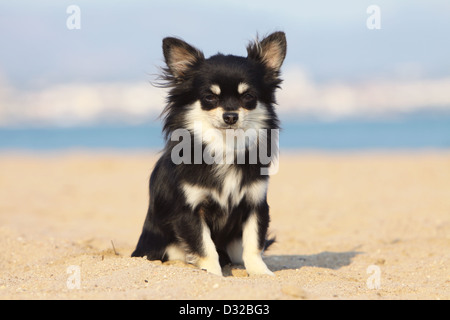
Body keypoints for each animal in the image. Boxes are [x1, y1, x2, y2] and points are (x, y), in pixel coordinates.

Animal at [130, 31, 286, 276]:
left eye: (248, 97)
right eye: (210, 98)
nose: (230, 116)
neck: (224, 147)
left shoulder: (255, 205)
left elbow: (253, 244)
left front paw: (261, 273)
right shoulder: (189, 211)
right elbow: (205, 247)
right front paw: (213, 274)